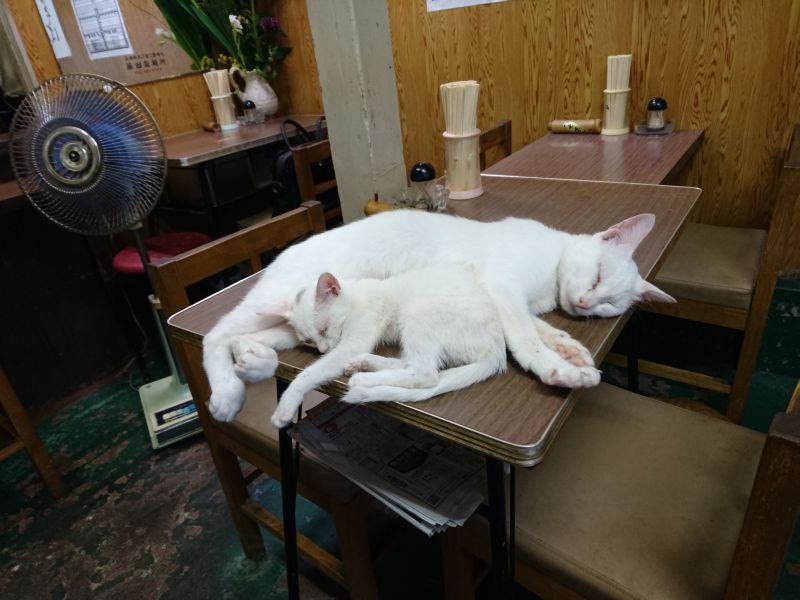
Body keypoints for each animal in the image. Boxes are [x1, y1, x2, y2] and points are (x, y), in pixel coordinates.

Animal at [265, 265, 511, 427]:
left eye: (324, 329)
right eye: (308, 341)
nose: (323, 350)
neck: (355, 296)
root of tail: (497, 352)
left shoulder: (352, 342)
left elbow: (309, 374)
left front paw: (285, 406)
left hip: (419, 315)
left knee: (426, 373)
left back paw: (363, 378)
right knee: (413, 364)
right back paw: (364, 364)